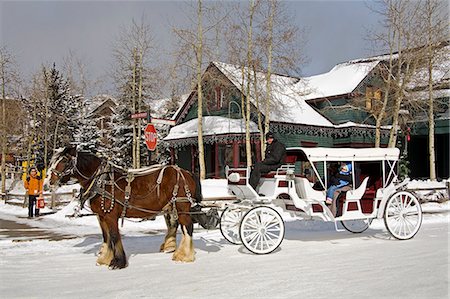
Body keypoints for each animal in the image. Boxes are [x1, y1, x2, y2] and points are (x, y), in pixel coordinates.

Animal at [44, 148, 202, 270]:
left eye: (64, 161)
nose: (47, 183)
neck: (101, 181)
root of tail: (187, 172)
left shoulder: (110, 215)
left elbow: (114, 236)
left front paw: (118, 262)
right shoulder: (101, 216)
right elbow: (106, 237)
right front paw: (105, 259)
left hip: (181, 206)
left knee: (187, 227)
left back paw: (184, 255)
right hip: (171, 207)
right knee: (175, 225)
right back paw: (172, 248)